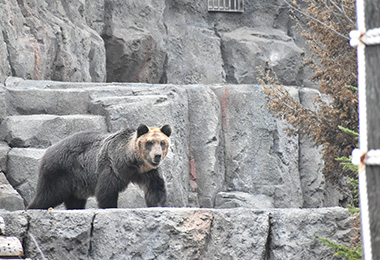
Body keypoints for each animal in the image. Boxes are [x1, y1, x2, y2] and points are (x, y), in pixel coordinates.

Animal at [25, 124, 171, 209]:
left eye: (162, 143)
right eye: (149, 143)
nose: (157, 156)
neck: (132, 162)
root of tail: (48, 151)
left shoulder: (149, 172)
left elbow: (155, 189)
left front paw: (159, 205)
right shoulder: (112, 167)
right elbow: (106, 192)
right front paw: (110, 207)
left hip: (77, 183)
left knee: (74, 200)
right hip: (60, 171)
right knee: (48, 194)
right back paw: (33, 207)